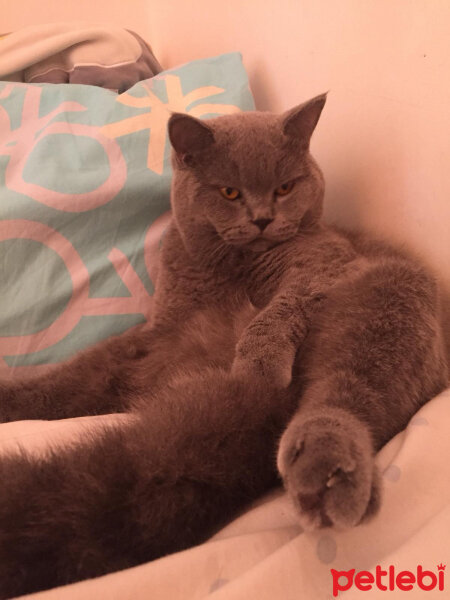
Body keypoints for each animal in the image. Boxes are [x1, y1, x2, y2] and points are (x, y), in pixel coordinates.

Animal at [0, 96, 446, 596]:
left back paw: (326, 474)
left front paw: (259, 361)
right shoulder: (160, 327)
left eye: (285, 187)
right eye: (230, 192)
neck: (234, 270)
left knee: (348, 394)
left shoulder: (327, 265)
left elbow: (284, 303)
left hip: (394, 293)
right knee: (66, 384)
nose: (263, 218)